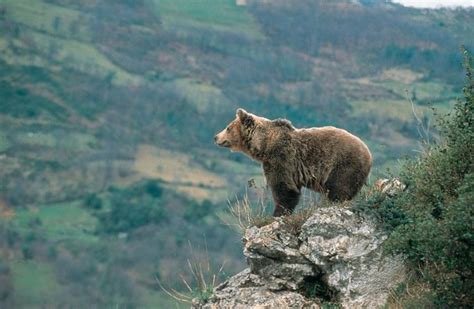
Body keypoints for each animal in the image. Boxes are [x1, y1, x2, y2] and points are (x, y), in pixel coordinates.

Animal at [216, 109, 374, 217]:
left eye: (228, 127)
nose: (216, 137)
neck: (264, 145)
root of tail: (368, 152)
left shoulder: (281, 158)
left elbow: (284, 188)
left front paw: (277, 213)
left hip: (344, 164)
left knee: (340, 189)